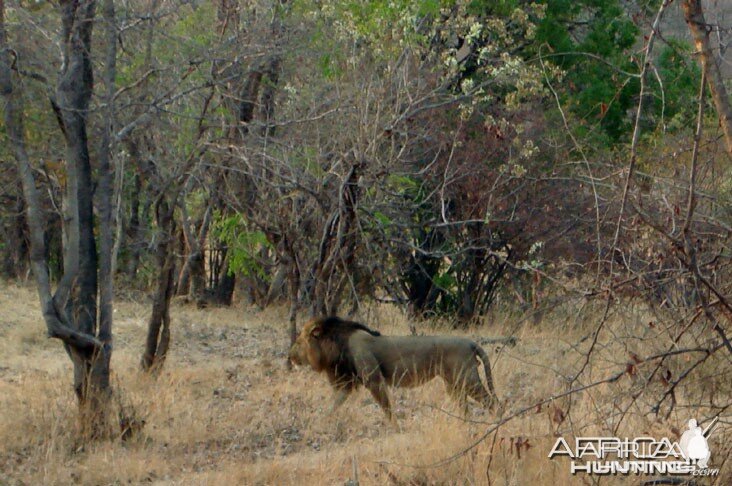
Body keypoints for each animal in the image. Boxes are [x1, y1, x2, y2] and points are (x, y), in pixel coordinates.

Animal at [288, 318, 498, 420]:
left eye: (298, 342)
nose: (289, 356)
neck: (337, 344)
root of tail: (470, 342)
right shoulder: (347, 384)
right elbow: (333, 405)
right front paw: (320, 422)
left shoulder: (374, 380)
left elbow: (387, 409)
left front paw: (395, 428)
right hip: (453, 384)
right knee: (465, 407)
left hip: (467, 379)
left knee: (492, 402)